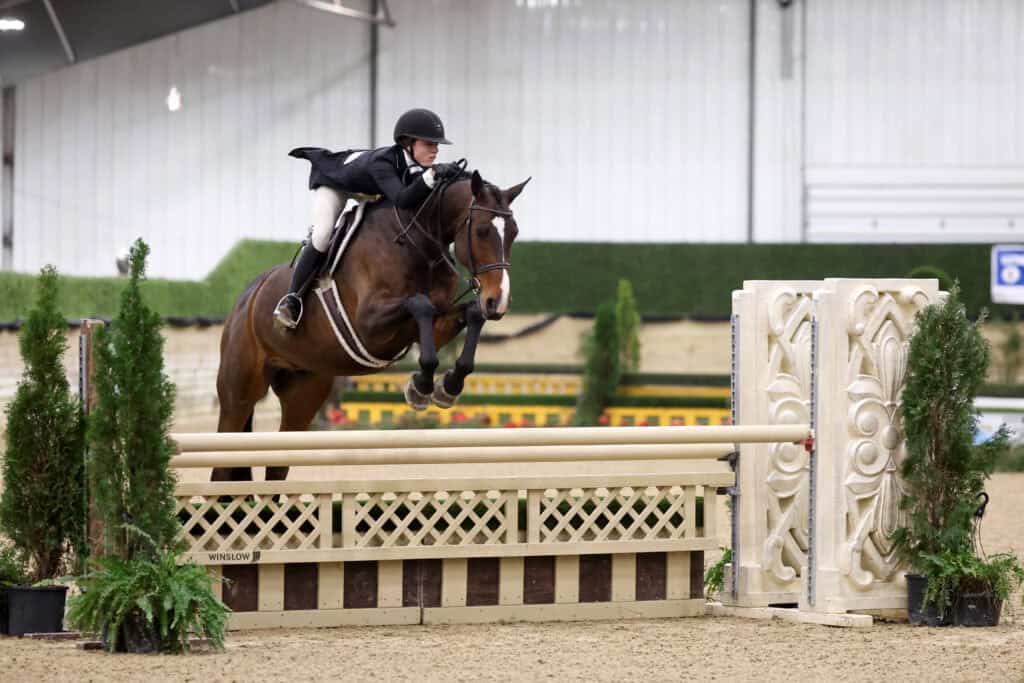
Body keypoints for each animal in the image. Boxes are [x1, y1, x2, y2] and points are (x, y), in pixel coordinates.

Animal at [213, 170, 530, 481]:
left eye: (514, 232)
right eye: (482, 231)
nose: (499, 301)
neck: (419, 245)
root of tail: (246, 298)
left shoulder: (438, 325)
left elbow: (471, 315)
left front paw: (446, 387)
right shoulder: (369, 326)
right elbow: (420, 305)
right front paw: (421, 387)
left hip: (303, 391)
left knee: (278, 463)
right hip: (239, 392)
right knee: (224, 461)